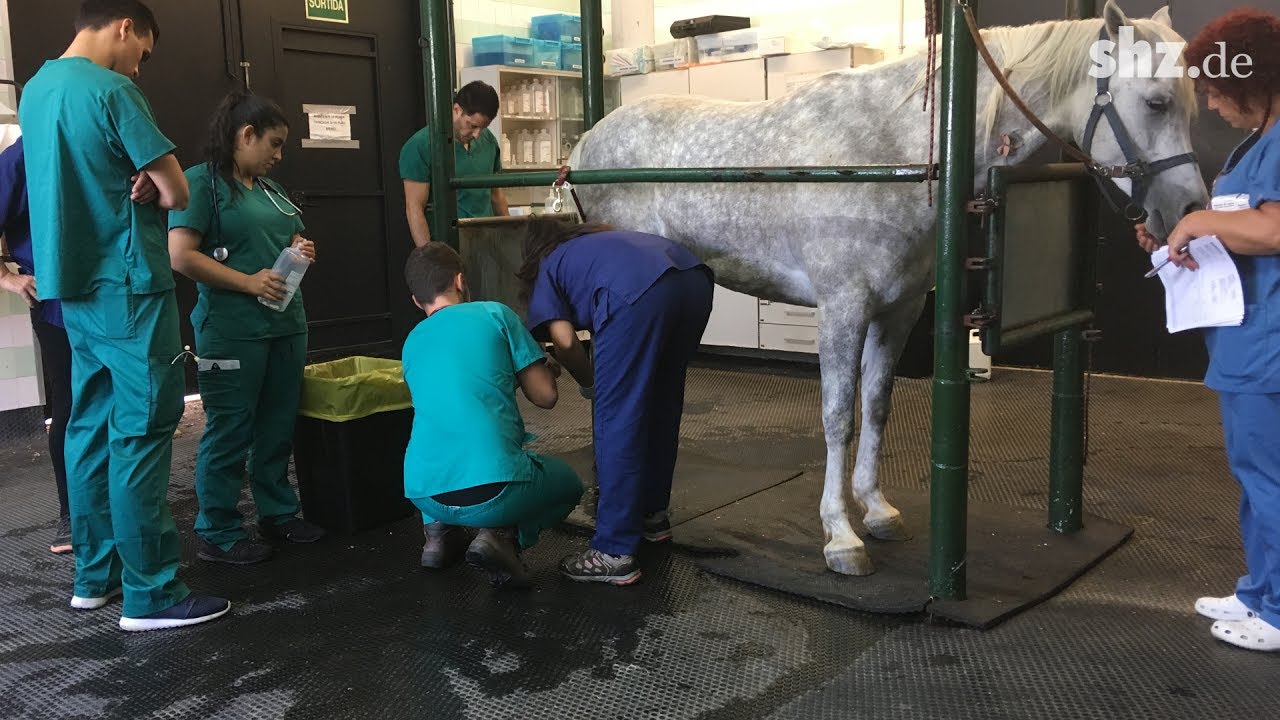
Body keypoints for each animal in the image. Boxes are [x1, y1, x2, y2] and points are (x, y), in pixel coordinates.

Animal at [567, 1, 1209, 575]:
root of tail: (585, 146)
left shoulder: (896, 313)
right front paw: (840, 536)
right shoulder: (842, 310)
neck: (893, 155)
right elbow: (838, 418)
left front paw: (875, 511)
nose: (1189, 210)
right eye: (1155, 102)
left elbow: (876, 409)